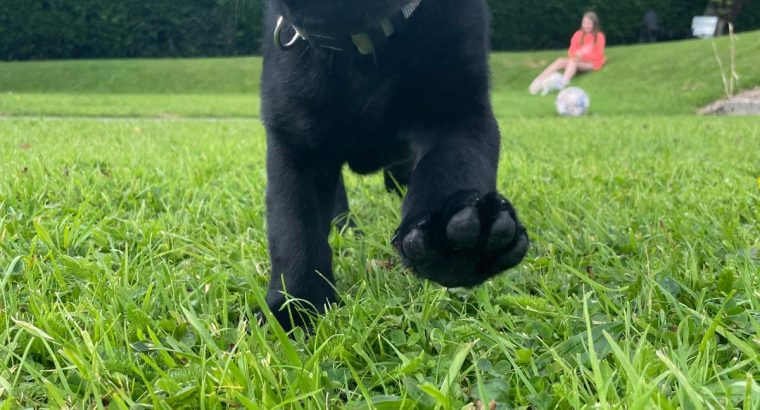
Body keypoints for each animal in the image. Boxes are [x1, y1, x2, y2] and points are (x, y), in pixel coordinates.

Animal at [262, 0, 528, 328]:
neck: (359, 45)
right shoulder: (296, 141)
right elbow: (295, 229)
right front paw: (295, 310)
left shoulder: (459, 114)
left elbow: (451, 169)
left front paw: (459, 237)